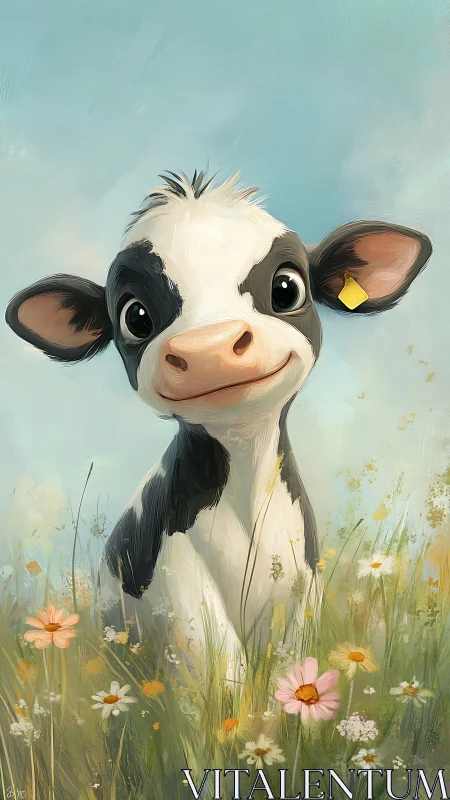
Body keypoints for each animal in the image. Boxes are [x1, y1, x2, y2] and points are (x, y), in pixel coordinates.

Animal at [5, 170, 431, 677]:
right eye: (135, 316)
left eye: (286, 287)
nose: (208, 347)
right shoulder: (181, 586)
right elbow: (221, 675)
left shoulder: (302, 587)